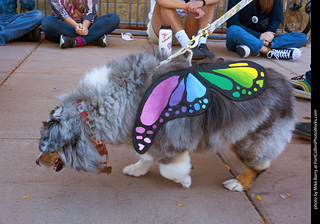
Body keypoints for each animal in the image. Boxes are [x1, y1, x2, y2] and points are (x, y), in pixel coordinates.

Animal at [36, 51, 296, 192]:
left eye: (47, 147)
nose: (37, 162)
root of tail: (286, 85)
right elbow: (145, 156)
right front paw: (138, 169)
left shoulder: (169, 140)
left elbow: (169, 169)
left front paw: (185, 180)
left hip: (249, 139)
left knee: (261, 165)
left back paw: (238, 183)